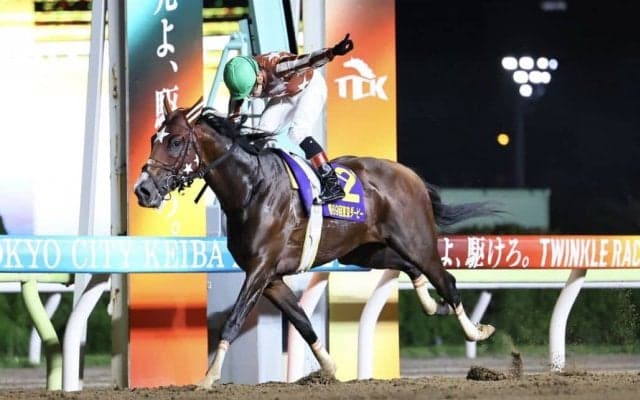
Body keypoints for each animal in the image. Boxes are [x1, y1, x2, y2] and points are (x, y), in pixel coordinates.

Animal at [134, 97, 500, 387]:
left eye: (176, 141)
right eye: (153, 138)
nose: (143, 190)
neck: (252, 188)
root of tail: (411, 175)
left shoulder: (260, 269)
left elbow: (234, 321)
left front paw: (208, 378)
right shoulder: (270, 278)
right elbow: (302, 321)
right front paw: (328, 368)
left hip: (416, 240)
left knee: (446, 279)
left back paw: (475, 331)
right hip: (363, 253)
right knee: (411, 268)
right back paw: (430, 304)